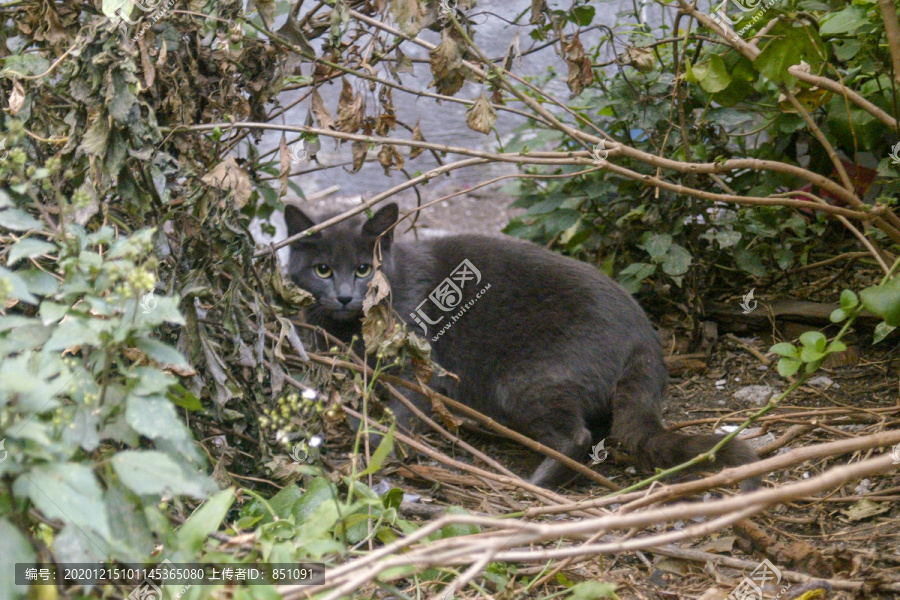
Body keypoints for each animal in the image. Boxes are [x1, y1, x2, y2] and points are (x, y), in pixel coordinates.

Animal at [284, 204, 756, 490]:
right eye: (322, 269)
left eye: (364, 269)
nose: (346, 295)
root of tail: (645, 339)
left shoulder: (415, 365)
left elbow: (404, 411)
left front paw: (377, 451)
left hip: (525, 380)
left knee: (575, 437)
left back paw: (532, 482)